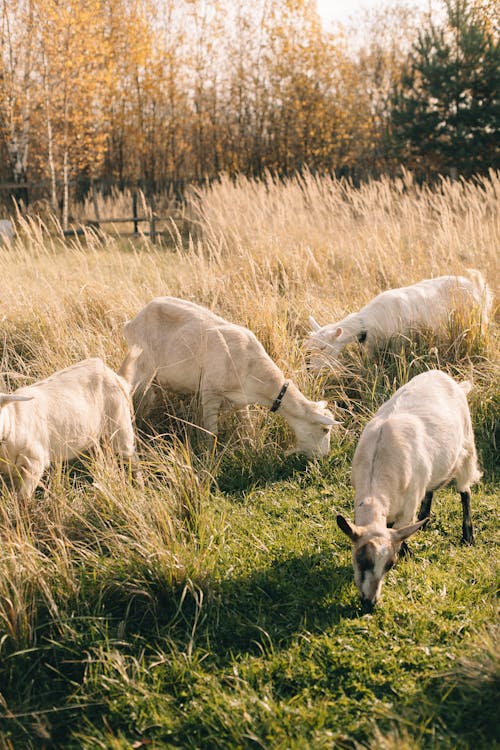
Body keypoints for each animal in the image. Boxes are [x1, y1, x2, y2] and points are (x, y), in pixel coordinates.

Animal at [122, 296, 338, 456]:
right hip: (141, 367)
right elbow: (212, 432)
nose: (324, 457)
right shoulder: (209, 393)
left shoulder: (242, 399)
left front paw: (251, 446)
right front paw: (209, 456)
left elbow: (248, 426)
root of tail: (132, 321)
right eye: (325, 429)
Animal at [304, 274, 492, 374]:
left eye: (324, 348)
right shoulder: (372, 346)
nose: (312, 370)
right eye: (310, 349)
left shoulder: (398, 342)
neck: (366, 323)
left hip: (476, 319)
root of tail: (474, 284)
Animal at [336, 370, 480, 612]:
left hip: (466, 450)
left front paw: (407, 553)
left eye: (389, 565)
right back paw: (426, 518)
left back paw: (467, 536)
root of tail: (451, 380)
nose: (370, 603)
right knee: (431, 489)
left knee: (465, 491)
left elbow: (400, 533)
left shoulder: (408, 507)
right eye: (361, 559)